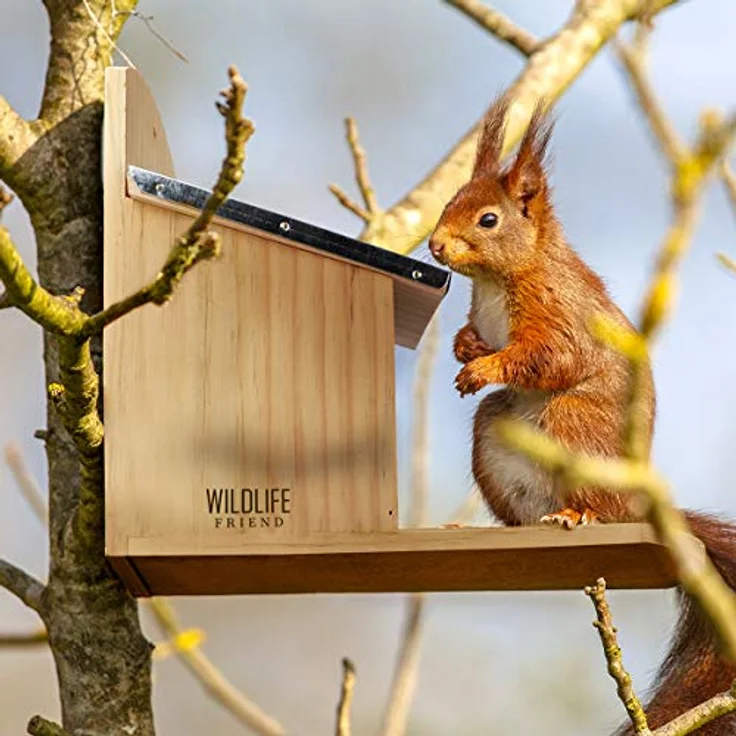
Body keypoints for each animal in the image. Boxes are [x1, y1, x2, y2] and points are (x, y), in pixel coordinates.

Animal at [428, 96, 736, 734]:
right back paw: (497, 528)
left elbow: (549, 358)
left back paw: (576, 514)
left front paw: (482, 368)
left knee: (586, 488)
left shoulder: (559, 313)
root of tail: (636, 508)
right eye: (448, 204)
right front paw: (467, 348)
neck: (500, 279)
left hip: (572, 424)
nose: (436, 246)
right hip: (494, 439)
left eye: (488, 220)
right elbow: (477, 337)